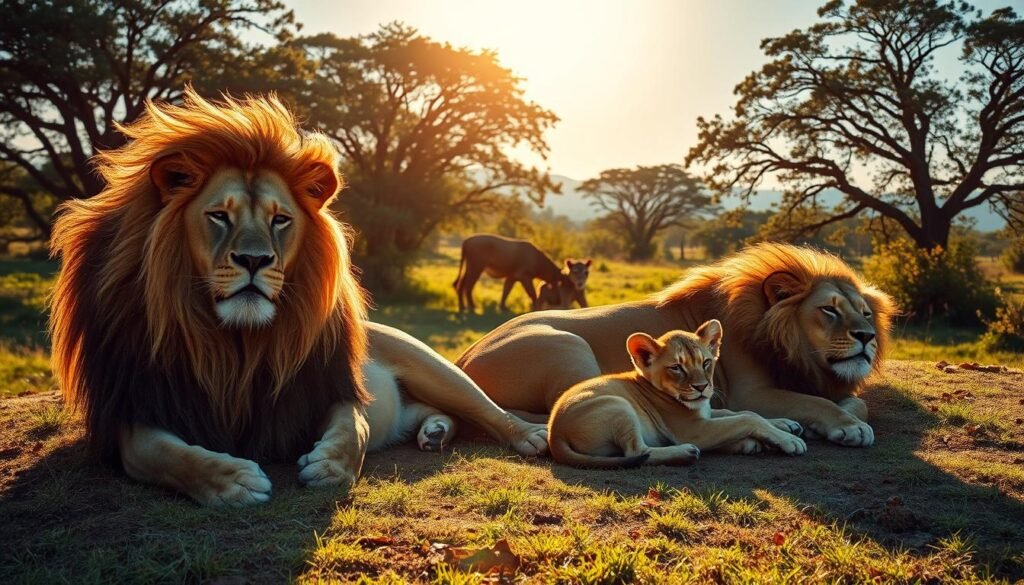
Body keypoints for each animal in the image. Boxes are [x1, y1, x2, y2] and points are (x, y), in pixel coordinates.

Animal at [49, 89, 546, 507]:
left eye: (281, 219)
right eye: (218, 215)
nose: (254, 259)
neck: (235, 342)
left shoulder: (331, 383)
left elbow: (353, 429)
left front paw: (329, 466)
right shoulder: (135, 408)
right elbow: (165, 455)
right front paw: (232, 480)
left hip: (431, 365)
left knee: (483, 407)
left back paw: (529, 435)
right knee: (433, 413)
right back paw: (436, 431)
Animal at [458, 243, 895, 448]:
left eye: (865, 313)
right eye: (829, 310)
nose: (867, 337)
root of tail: (463, 359)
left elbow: (854, 402)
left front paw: (842, 419)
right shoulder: (751, 390)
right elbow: (819, 403)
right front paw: (847, 427)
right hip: (569, 344)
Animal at [548, 322, 806, 469]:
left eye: (705, 362)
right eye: (677, 367)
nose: (702, 387)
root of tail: (554, 433)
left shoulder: (706, 415)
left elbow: (742, 412)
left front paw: (786, 424)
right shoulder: (692, 429)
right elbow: (746, 418)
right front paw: (790, 440)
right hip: (618, 404)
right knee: (638, 452)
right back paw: (686, 452)